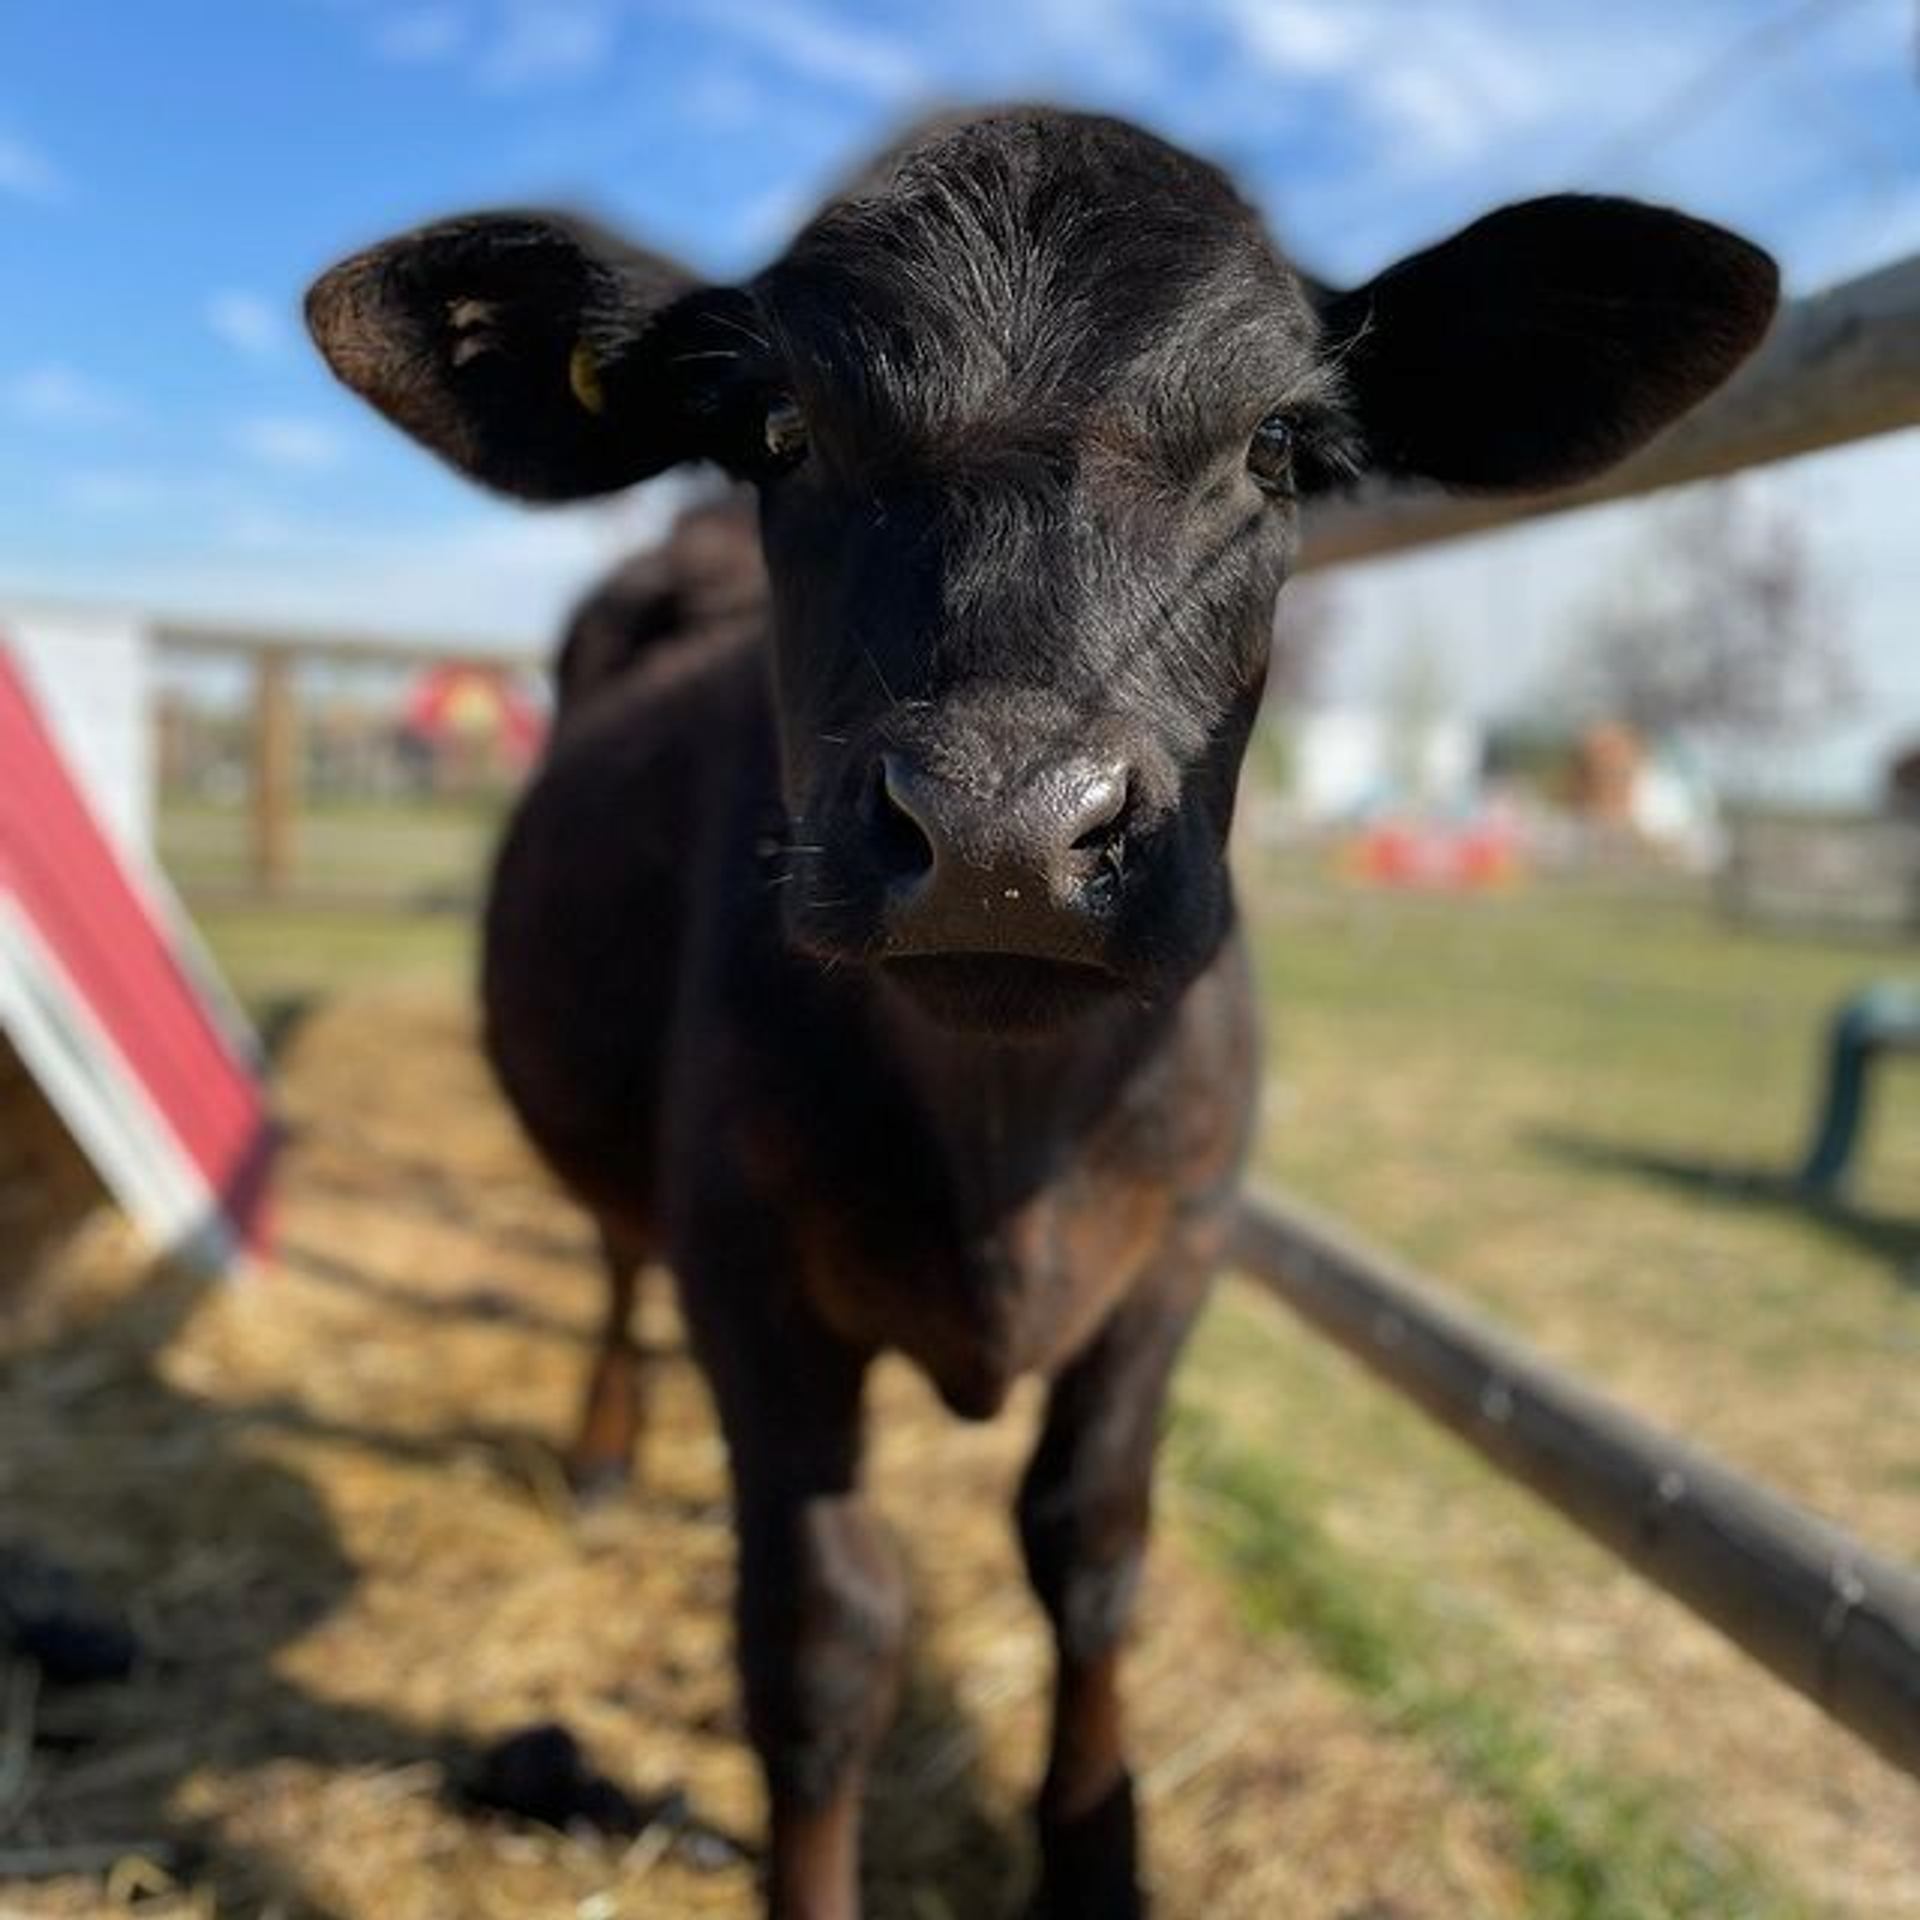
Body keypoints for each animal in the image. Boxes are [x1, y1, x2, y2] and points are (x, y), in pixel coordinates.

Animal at [308, 105, 1777, 1920]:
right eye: (778, 426)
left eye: (1282, 447)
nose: (1000, 835)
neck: (1009, 1139)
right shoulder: (748, 1267)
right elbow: (821, 1639)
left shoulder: (1180, 1246)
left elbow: (1090, 1547)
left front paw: (1097, 1853)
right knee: (614, 1262)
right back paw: (597, 1450)